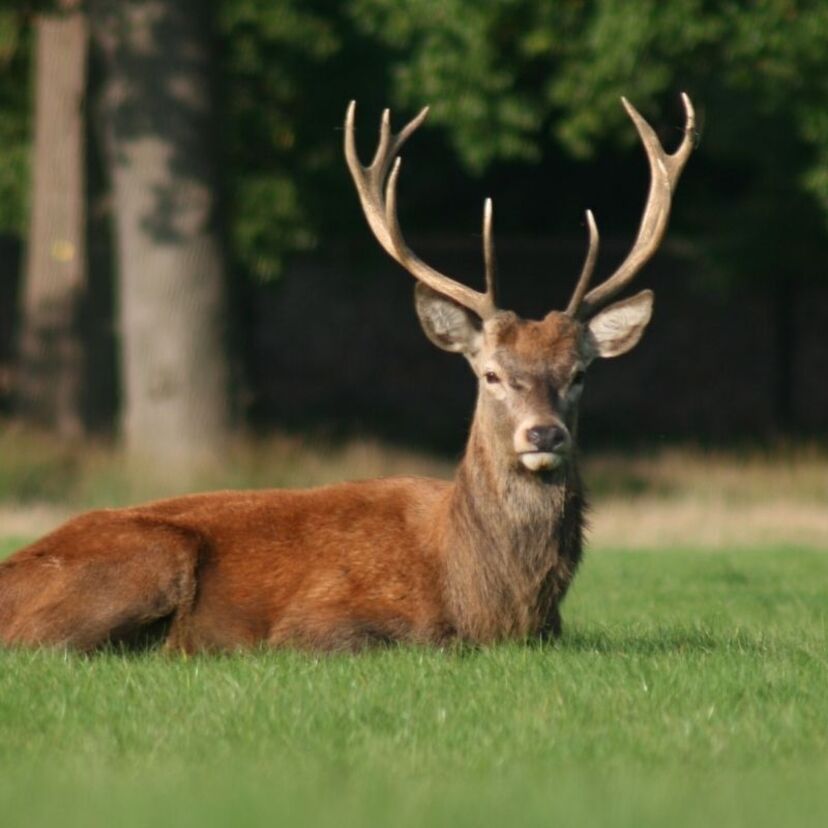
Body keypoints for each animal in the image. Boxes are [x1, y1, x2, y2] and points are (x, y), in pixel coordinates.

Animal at [0, 95, 696, 652]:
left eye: (579, 373)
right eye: (491, 375)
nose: (544, 434)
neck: (486, 601)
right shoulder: (318, 622)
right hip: (150, 557)